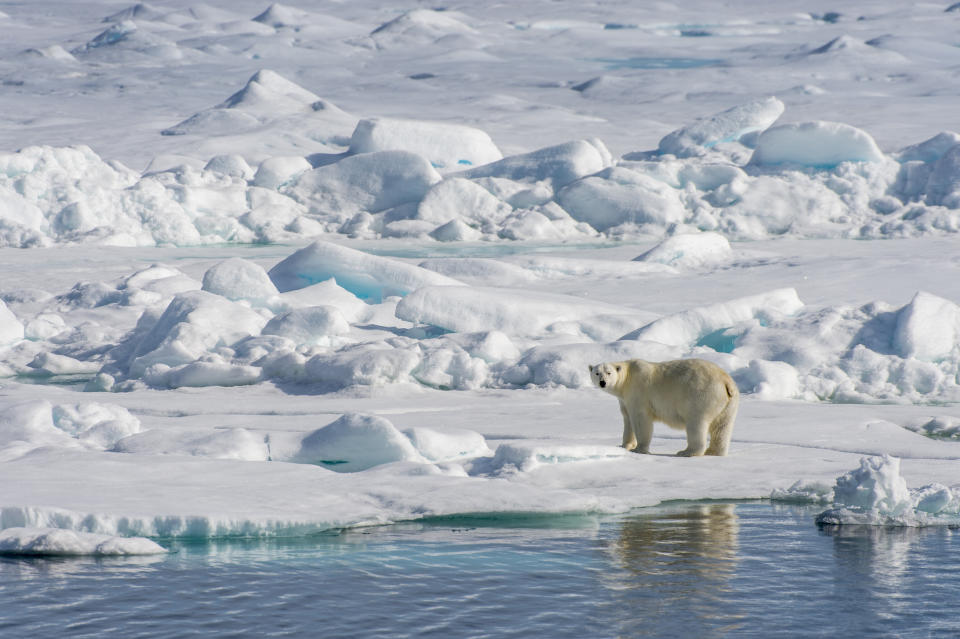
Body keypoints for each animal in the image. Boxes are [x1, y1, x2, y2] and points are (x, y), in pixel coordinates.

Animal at [588, 358, 740, 458]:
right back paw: (713, 452)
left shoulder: (639, 393)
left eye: (609, 372)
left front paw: (639, 449)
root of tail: (726, 381)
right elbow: (627, 419)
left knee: (696, 423)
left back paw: (686, 452)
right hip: (728, 403)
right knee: (722, 427)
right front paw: (624, 445)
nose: (602, 382)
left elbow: (641, 419)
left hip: (701, 396)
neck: (627, 379)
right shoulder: (625, 400)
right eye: (597, 373)